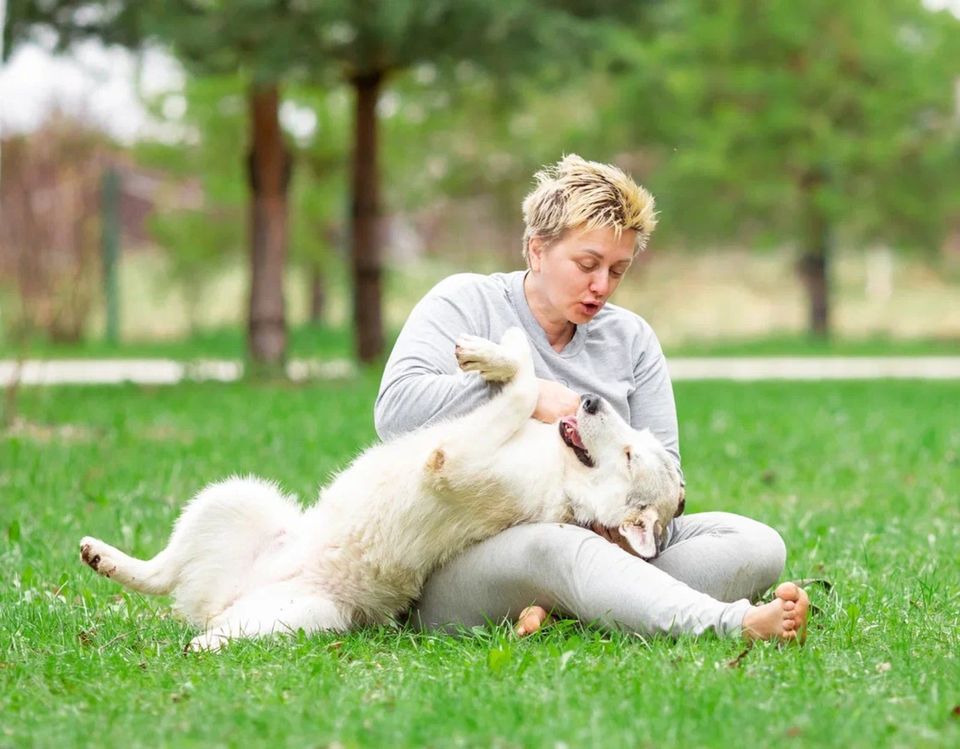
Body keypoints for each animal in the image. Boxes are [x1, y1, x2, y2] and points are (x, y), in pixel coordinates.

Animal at [80, 328, 684, 648]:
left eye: (629, 454)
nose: (590, 402)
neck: (560, 475)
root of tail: (222, 601)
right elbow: (524, 378)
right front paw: (501, 348)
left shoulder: (452, 459)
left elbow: (524, 387)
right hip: (236, 496)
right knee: (161, 572)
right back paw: (104, 557)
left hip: (302, 618)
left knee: (202, 624)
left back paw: (192, 644)